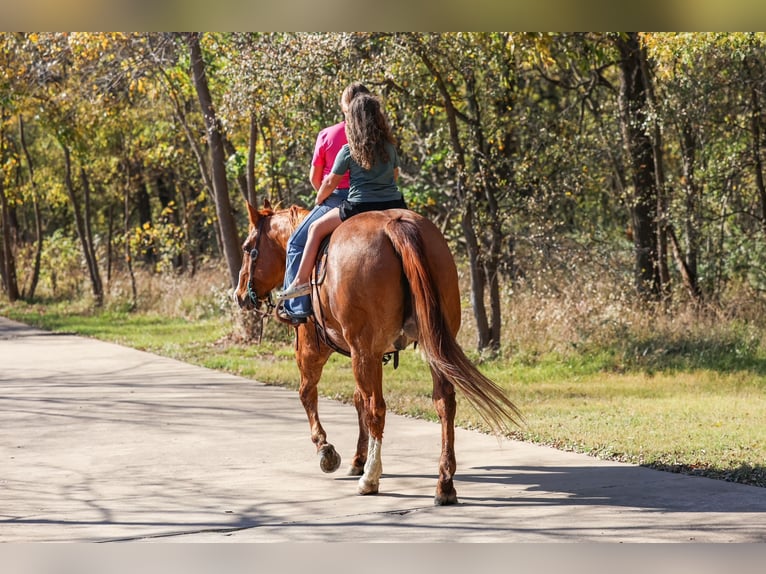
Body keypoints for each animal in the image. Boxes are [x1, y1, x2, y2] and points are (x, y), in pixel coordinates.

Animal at [234, 200, 521, 505]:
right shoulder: (369, 354)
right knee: (443, 403)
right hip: (430, 345)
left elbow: (309, 394)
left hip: (362, 350)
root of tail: (395, 225)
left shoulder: (315, 348)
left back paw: (371, 478)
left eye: (247, 248)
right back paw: (444, 483)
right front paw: (357, 459)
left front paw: (327, 450)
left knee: (376, 408)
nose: (239, 295)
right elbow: (358, 399)